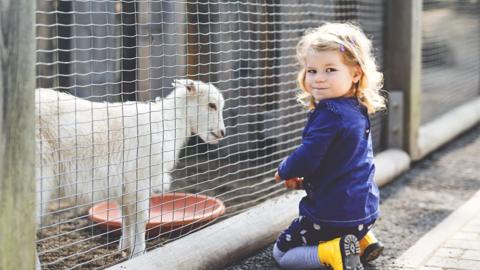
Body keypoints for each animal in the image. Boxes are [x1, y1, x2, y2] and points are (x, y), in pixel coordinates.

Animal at [35, 79, 227, 266]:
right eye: (211, 105)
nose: (222, 133)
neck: (168, 123)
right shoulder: (140, 180)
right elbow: (141, 217)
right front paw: (139, 253)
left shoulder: (124, 185)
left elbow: (126, 216)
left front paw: (125, 246)